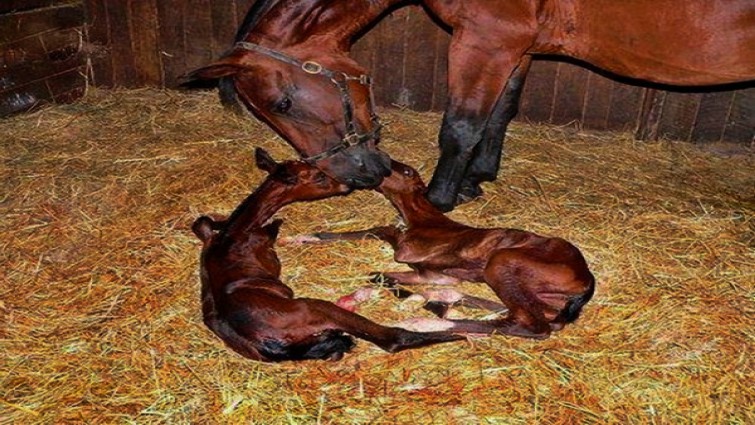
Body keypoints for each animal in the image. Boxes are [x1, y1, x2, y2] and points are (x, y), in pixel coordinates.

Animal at [189, 0, 755, 211]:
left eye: (284, 102)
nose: (360, 174)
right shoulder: (515, 45)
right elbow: (499, 113)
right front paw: (477, 178)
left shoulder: (485, 38)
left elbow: (461, 125)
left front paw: (439, 198)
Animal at [192, 148, 468, 362]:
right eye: (317, 176)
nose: (348, 183)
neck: (237, 231)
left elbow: (201, 221)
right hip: (316, 307)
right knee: (391, 337)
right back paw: (451, 331)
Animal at [294, 160, 596, 339]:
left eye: (405, 171)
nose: (377, 164)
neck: (423, 219)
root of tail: (587, 278)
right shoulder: (430, 274)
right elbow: (380, 270)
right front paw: (305, 237)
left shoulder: (411, 251)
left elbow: (386, 234)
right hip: (541, 294)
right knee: (541, 316)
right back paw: (444, 303)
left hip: (502, 259)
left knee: (532, 324)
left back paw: (427, 322)